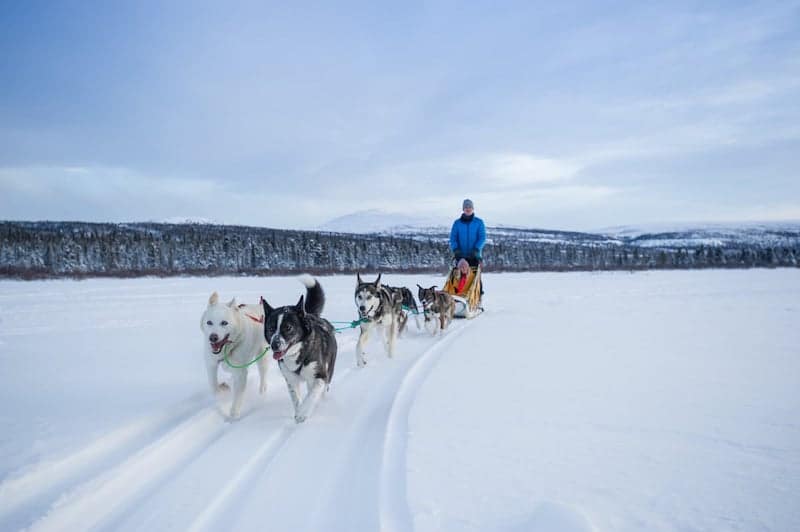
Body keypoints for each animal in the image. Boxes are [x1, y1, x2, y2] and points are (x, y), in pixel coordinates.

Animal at [200, 290, 268, 420]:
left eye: (224, 323)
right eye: (209, 322)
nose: (213, 337)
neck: (227, 349)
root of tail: (259, 307)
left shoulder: (241, 373)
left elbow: (237, 398)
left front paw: (233, 416)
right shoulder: (211, 364)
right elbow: (214, 386)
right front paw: (222, 391)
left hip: (261, 356)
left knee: (263, 374)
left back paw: (262, 391)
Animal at [262, 274, 338, 424]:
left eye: (288, 327)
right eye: (271, 328)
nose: (274, 344)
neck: (298, 353)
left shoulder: (320, 376)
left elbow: (311, 396)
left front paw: (303, 412)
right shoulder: (291, 380)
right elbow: (296, 399)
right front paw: (298, 413)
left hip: (328, 370)